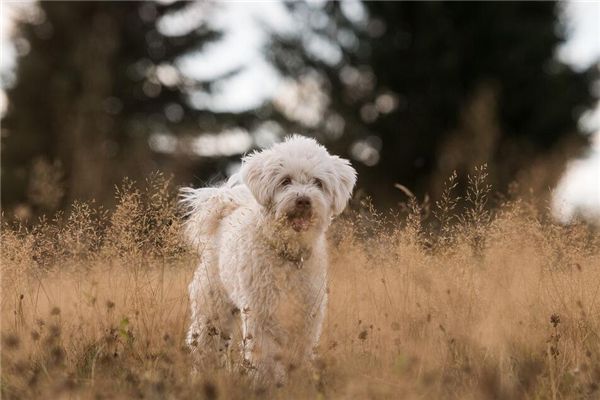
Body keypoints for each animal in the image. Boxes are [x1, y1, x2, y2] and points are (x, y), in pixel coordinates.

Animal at [180, 136, 354, 386]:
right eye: (285, 181)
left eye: (317, 182)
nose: (303, 200)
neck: (288, 255)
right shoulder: (261, 315)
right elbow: (263, 357)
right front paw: (263, 383)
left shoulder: (306, 317)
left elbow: (298, 353)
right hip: (211, 308)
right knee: (205, 346)